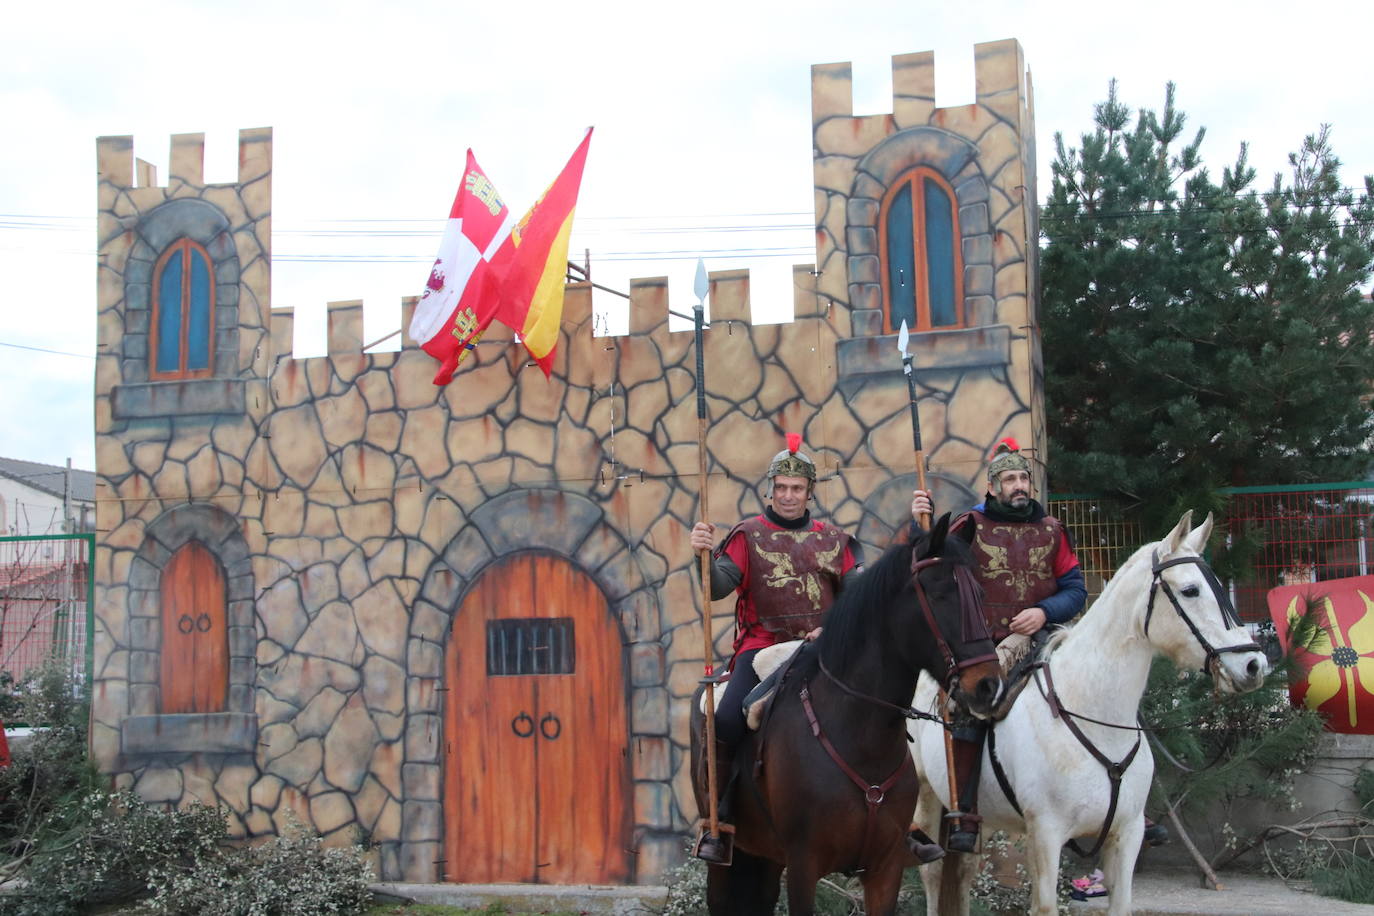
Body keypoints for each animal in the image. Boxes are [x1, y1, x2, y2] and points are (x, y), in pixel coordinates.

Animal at [692, 516, 1005, 916]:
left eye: (979, 595)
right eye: (939, 594)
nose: (987, 686)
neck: (860, 737)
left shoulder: (885, 868)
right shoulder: (803, 864)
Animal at [906, 513, 1269, 916]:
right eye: (1191, 590)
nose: (1254, 665)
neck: (1094, 718)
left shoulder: (1126, 836)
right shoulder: (1046, 836)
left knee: (964, 872)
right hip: (926, 795)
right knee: (934, 873)